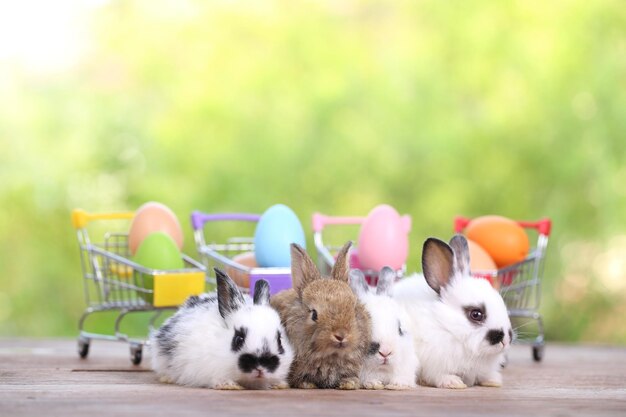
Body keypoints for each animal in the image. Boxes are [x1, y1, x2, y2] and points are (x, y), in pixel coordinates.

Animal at [270, 240, 370, 386]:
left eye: (353, 308)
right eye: (314, 314)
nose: (341, 335)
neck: (332, 356)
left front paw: (349, 383)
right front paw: (307, 384)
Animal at [392, 234, 516, 386]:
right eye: (476, 314)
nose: (506, 340)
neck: (446, 326)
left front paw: (493, 381)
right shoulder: (433, 363)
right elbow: (438, 375)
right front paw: (453, 382)